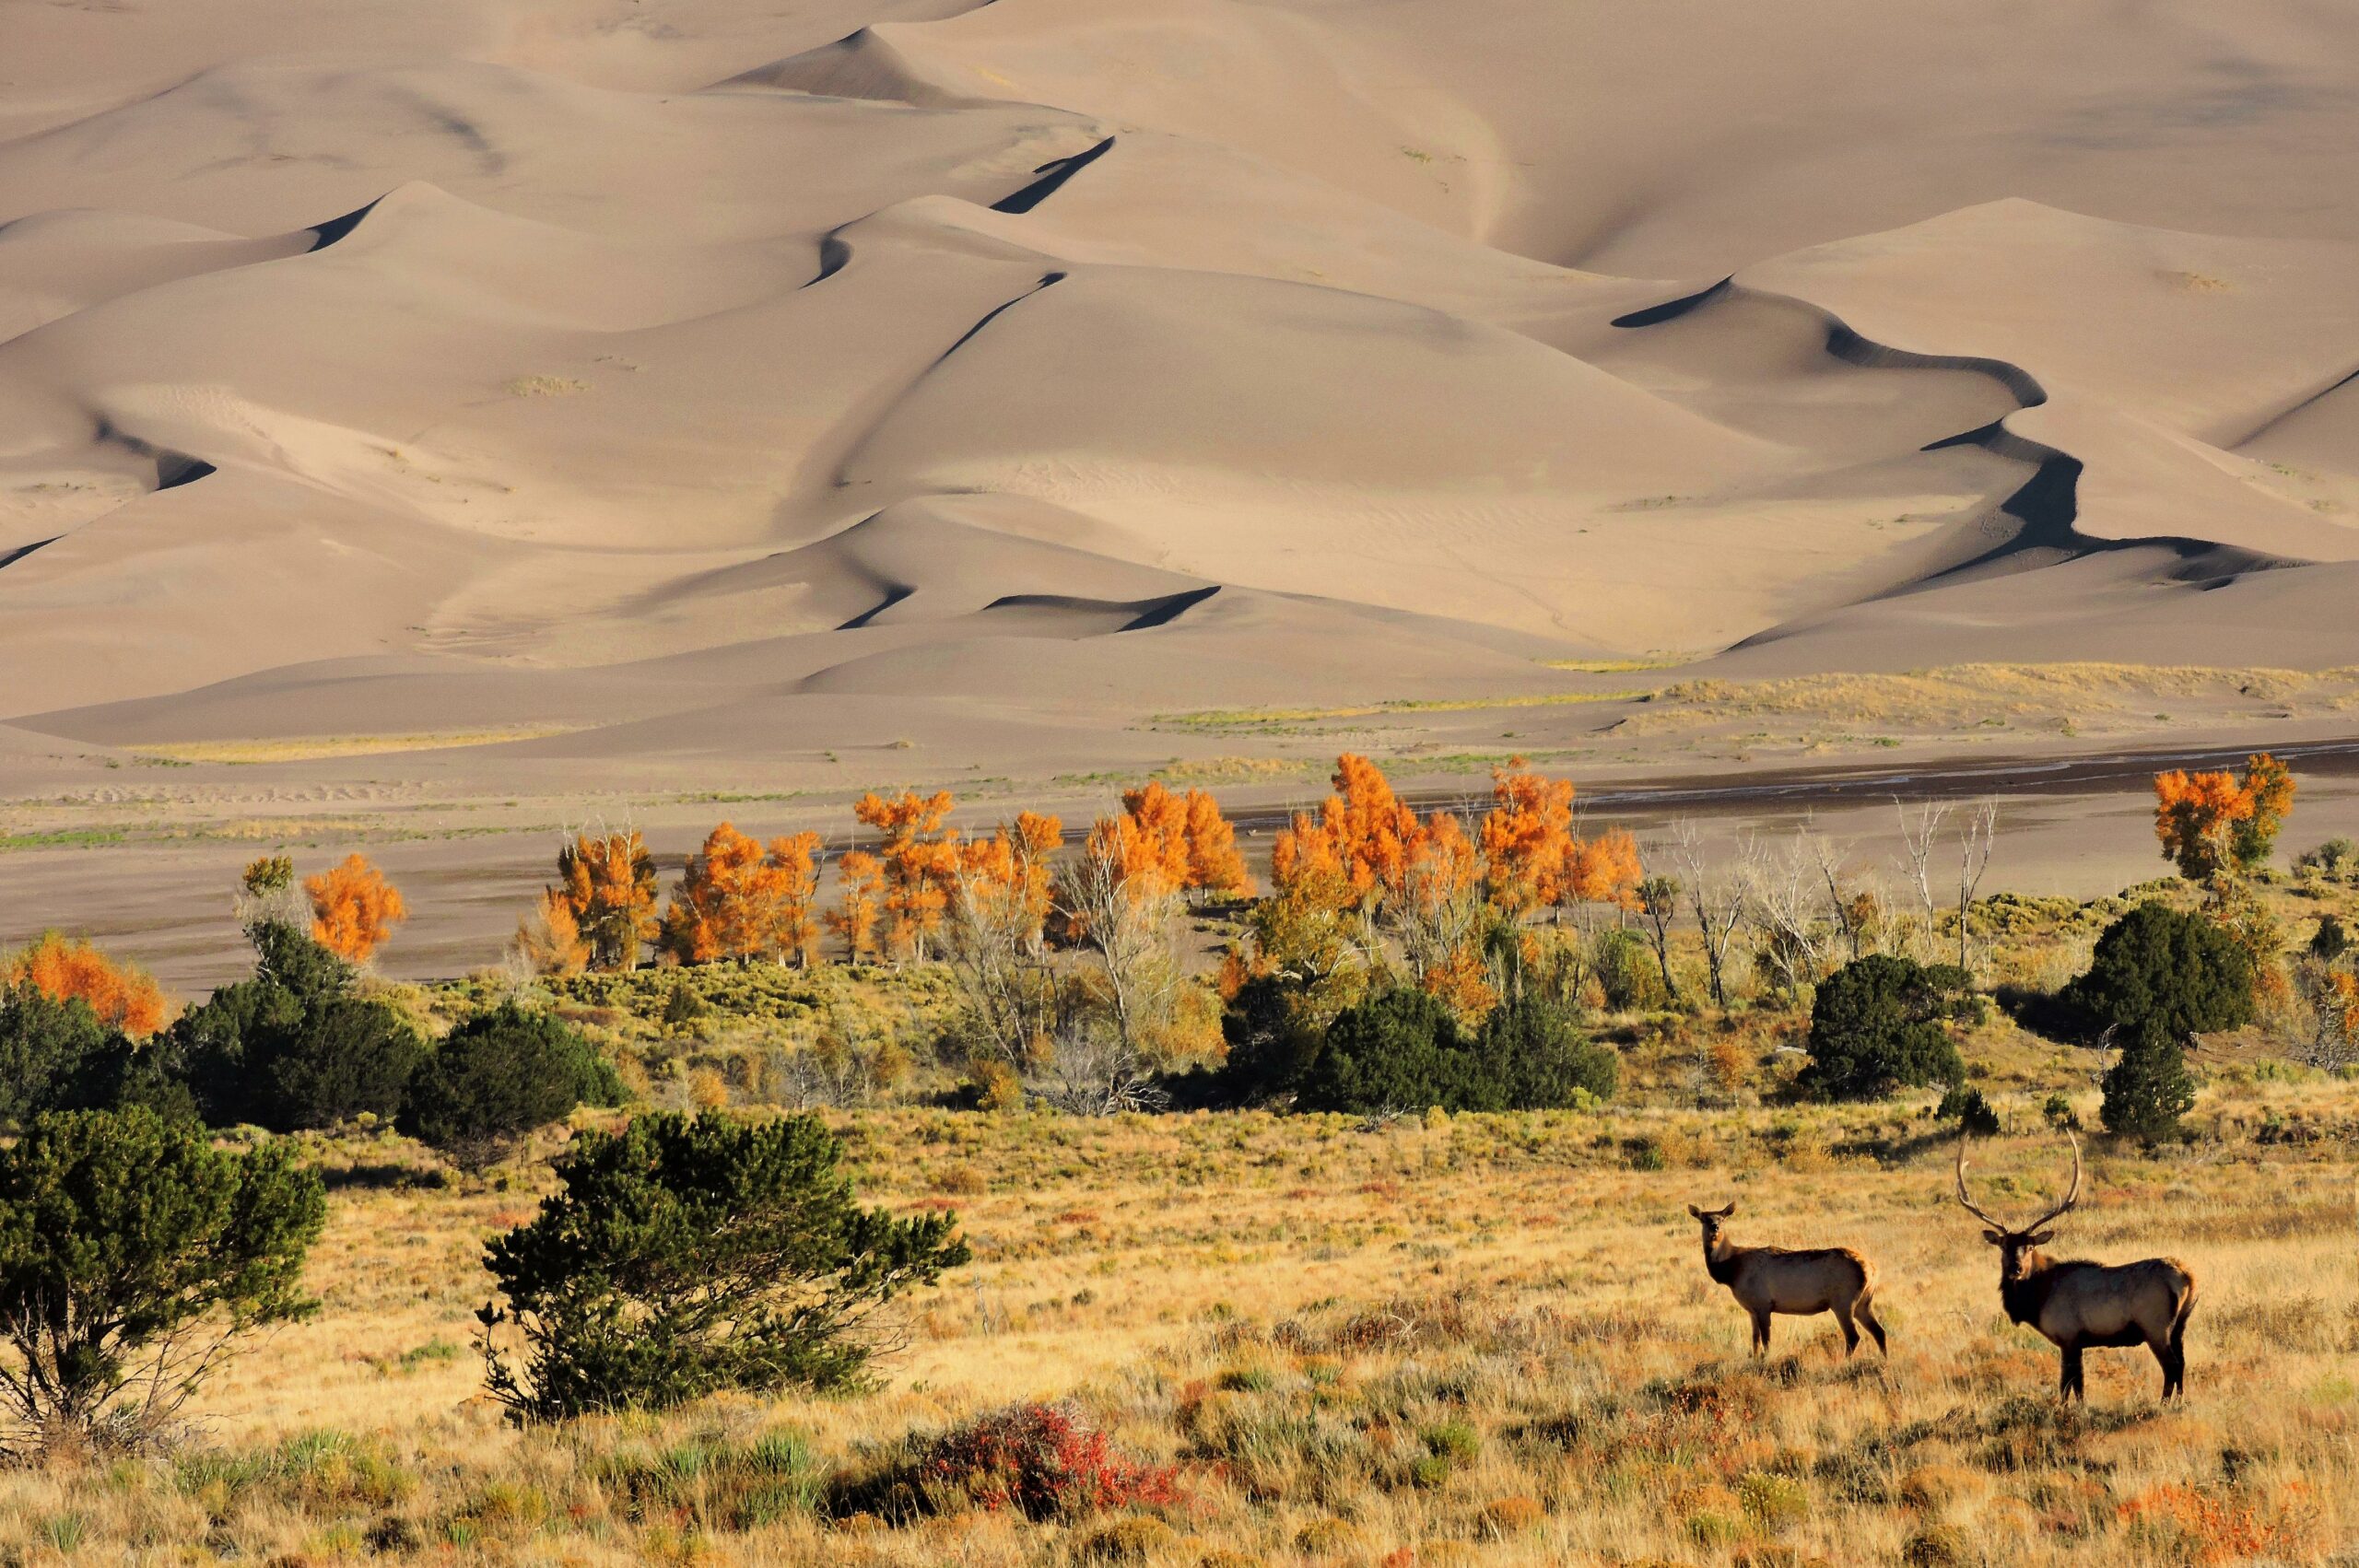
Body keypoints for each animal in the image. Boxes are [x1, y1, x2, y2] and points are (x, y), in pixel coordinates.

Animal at [1686, 1201, 1887, 1359]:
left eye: (1722, 1219)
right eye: (1704, 1219)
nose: (1715, 1228)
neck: (1731, 1271)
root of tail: (1872, 1269)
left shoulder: (1763, 1304)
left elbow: (1766, 1340)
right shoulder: (1751, 1309)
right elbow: (1755, 1341)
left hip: (1843, 1300)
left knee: (1853, 1336)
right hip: (1863, 1302)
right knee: (1879, 1331)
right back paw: (1884, 1361)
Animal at [1953, 1131, 2197, 1401]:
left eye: (2030, 1247)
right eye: (2003, 1246)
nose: (2015, 1269)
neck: (2038, 1298)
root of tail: (2187, 1277)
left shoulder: (2068, 1335)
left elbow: (2071, 1385)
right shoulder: (2074, 1342)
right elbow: (2072, 1385)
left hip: (2155, 1326)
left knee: (2171, 1366)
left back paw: (2164, 1404)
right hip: (2180, 1325)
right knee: (2182, 1363)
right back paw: (2180, 1402)